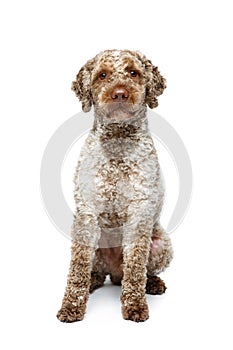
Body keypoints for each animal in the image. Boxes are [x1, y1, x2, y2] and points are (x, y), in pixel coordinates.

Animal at [56, 49, 173, 322]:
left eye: (133, 72)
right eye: (102, 75)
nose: (120, 93)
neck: (118, 143)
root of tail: (114, 273)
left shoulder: (139, 214)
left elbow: (136, 268)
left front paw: (135, 305)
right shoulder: (87, 215)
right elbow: (77, 268)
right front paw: (71, 306)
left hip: (161, 243)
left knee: (139, 272)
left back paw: (152, 283)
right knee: (95, 272)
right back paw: (93, 281)